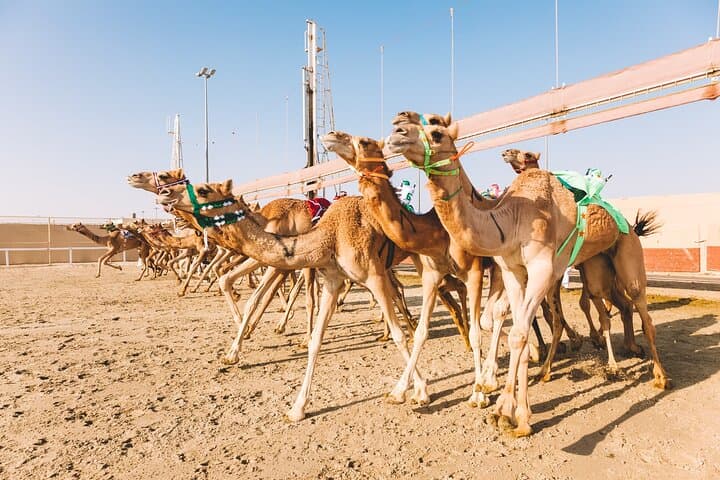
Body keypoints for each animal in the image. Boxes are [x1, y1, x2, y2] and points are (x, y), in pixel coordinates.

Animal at [157, 180, 428, 421]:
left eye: (203, 189)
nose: (165, 193)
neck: (330, 235)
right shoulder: (330, 279)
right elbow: (315, 339)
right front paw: (297, 408)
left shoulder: (371, 275)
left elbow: (398, 336)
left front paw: (417, 390)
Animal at [387, 112, 670, 436]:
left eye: (436, 133)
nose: (396, 132)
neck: (511, 220)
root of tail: (630, 224)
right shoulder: (512, 271)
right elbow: (516, 333)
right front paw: (507, 410)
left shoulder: (541, 269)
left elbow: (518, 333)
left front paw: (511, 412)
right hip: (596, 267)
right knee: (611, 306)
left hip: (628, 253)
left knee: (641, 310)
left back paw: (659, 375)